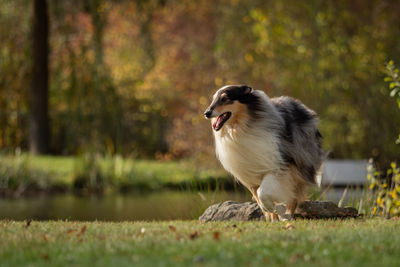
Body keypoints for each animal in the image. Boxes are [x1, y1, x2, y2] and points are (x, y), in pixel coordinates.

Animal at [203, 85, 324, 222]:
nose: (206, 113)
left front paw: (276, 210)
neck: (242, 128)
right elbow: (260, 199)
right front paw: (271, 213)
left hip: (301, 163)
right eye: (214, 99)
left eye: (224, 99)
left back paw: (287, 216)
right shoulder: (251, 174)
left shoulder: (279, 166)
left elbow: (263, 193)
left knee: (294, 195)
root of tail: (300, 105)